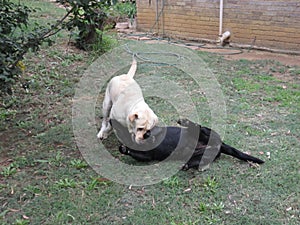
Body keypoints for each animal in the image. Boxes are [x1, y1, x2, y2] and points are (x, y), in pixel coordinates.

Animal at [109, 118, 262, 170]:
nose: (110, 119)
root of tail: (220, 144)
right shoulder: (146, 156)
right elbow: (135, 153)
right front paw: (123, 149)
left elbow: (151, 133)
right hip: (203, 156)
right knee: (197, 161)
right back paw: (186, 165)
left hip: (207, 133)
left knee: (199, 127)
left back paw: (185, 121)